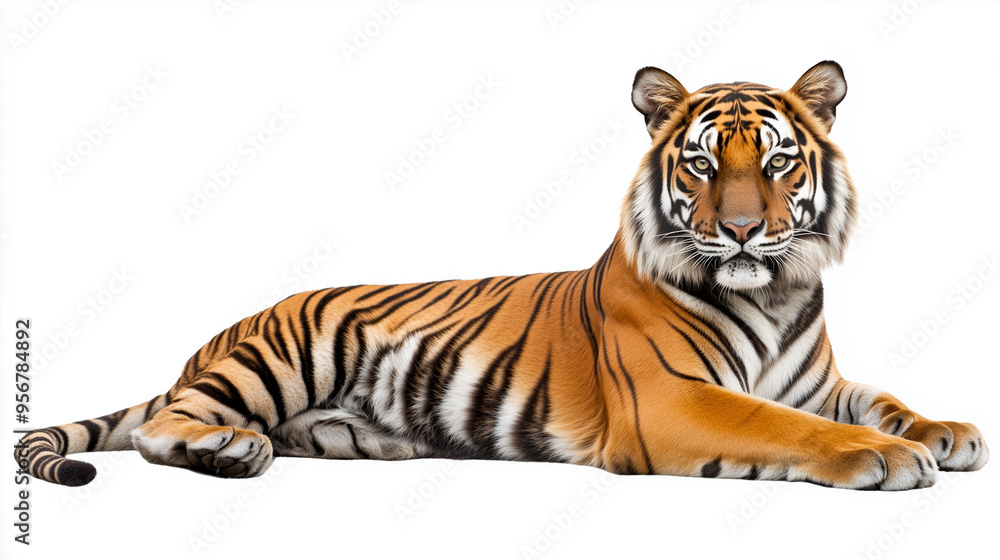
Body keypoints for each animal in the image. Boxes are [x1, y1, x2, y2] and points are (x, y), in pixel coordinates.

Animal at [15, 61, 988, 491]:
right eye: (706, 164)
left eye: (780, 162)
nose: (744, 229)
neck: (774, 290)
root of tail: (219, 334)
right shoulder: (668, 399)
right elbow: (780, 425)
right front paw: (880, 456)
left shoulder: (817, 379)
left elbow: (877, 398)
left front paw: (944, 432)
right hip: (283, 354)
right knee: (163, 426)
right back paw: (231, 449)